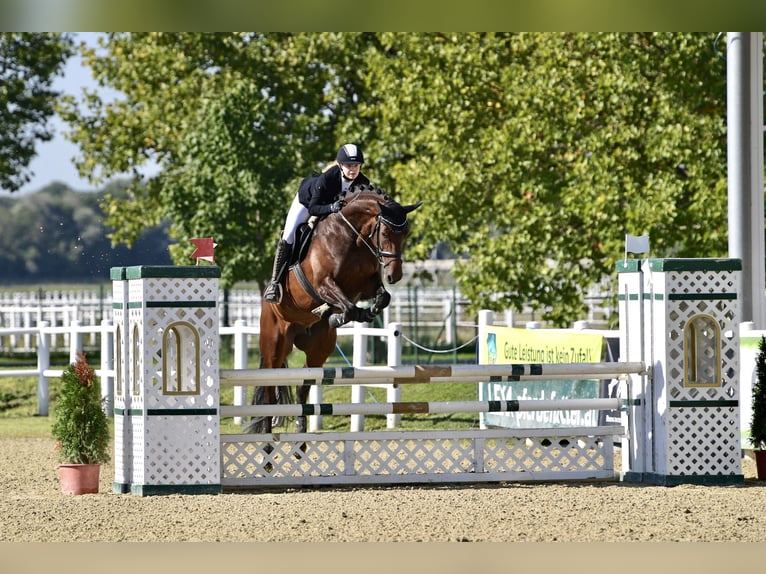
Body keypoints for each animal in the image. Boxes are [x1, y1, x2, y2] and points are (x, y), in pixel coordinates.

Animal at [249, 187, 424, 434]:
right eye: (385, 233)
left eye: (406, 234)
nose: (394, 276)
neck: (352, 237)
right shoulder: (324, 284)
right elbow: (348, 306)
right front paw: (339, 315)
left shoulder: (366, 285)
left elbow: (382, 297)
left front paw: (355, 314)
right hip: (275, 344)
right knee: (268, 392)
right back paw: (267, 434)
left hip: (318, 349)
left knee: (304, 384)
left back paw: (300, 430)